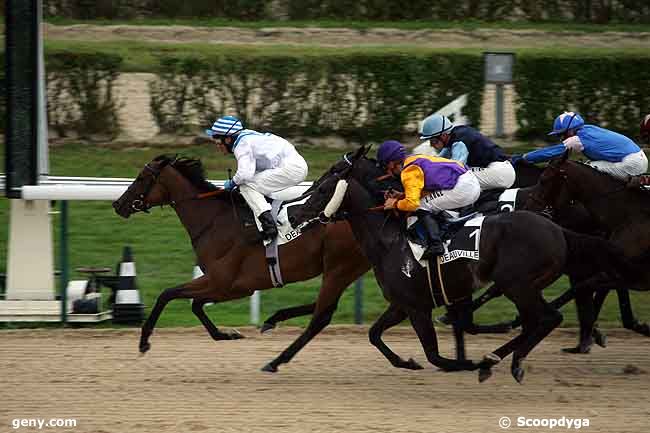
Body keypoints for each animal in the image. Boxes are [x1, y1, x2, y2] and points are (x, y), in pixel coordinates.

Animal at [290, 145, 632, 382]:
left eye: (326, 185)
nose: (295, 213)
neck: (389, 238)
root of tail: (557, 229)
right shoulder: (402, 304)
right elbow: (375, 335)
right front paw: (407, 362)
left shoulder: (417, 307)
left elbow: (435, 355)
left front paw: (463, 362)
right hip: (523, 286)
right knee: (539, 319)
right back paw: (501, 355)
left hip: (516, 283)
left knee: (548, 318)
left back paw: (498, 361)